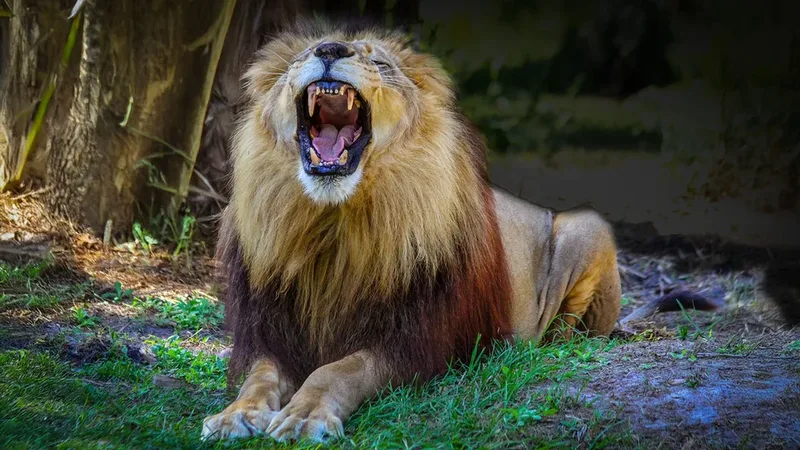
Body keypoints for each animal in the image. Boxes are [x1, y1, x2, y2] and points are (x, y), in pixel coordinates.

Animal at [200, 20, 623, 443]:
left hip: (588, 226)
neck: (333, 223)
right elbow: (258, 378)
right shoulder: (271, 332)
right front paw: (235, 414)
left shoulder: (414, 340)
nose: (330, 49)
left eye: (379, 62)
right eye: (302, 56)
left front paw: (305, 415)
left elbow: (336, 370)